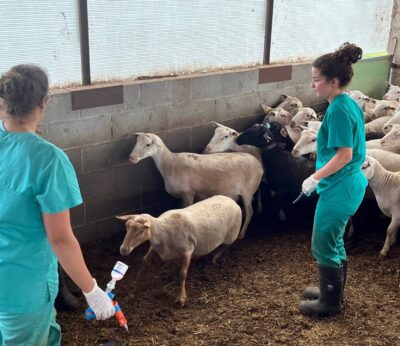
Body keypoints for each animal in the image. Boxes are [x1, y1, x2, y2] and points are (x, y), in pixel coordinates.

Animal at [130, 132, 264, 238]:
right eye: (136, 142)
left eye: (148, 144)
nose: (131, 158)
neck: (169, 163)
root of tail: (259, 165)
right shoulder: (183, 195)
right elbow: (181, 208)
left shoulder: (188, 193)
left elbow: (186, 209)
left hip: (247, 190)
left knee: (250, 211)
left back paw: (242, 233)